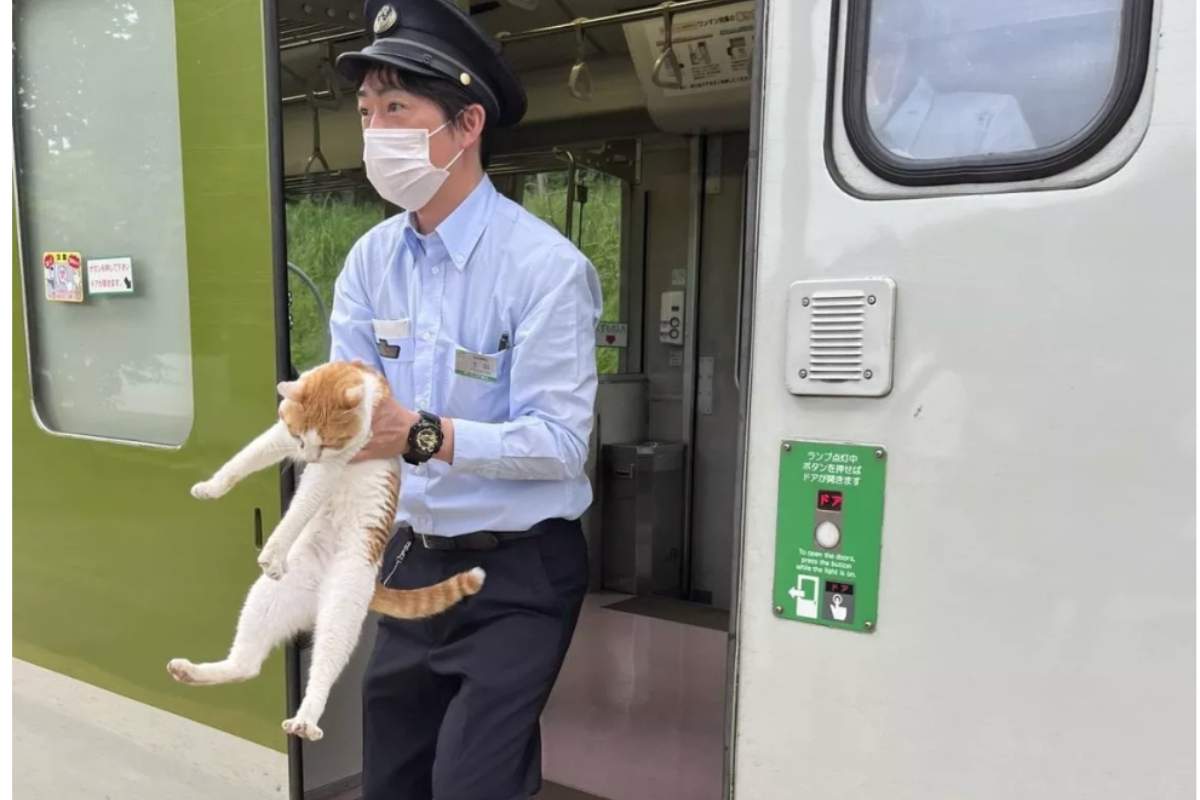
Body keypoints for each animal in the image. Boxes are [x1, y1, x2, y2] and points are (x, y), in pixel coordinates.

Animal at [165, 359, 482, 743]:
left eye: (327, 442)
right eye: (301, 438)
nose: (306, 456)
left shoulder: (334, 461)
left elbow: (298, 510)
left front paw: (274, 547)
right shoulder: (281, 434)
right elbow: (244, 458)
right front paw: (212, 487)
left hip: (341, 609)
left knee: (322, 671)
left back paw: (305, 719)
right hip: (268, 598)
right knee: (246, 665)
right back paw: (196, 672)